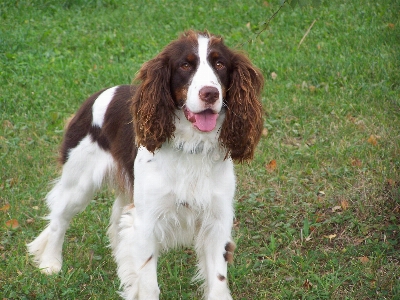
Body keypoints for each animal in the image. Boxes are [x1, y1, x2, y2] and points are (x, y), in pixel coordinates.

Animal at [28, 30, 266, 300]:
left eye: (220, 64)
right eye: (185, 65)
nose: (210, 93)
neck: (191, 145)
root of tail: (97, 96)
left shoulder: (217, 220)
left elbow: (217, 280)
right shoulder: (147, 222)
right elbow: (150, 283)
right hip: (78, 183)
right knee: (59, 218)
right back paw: (50, 263)